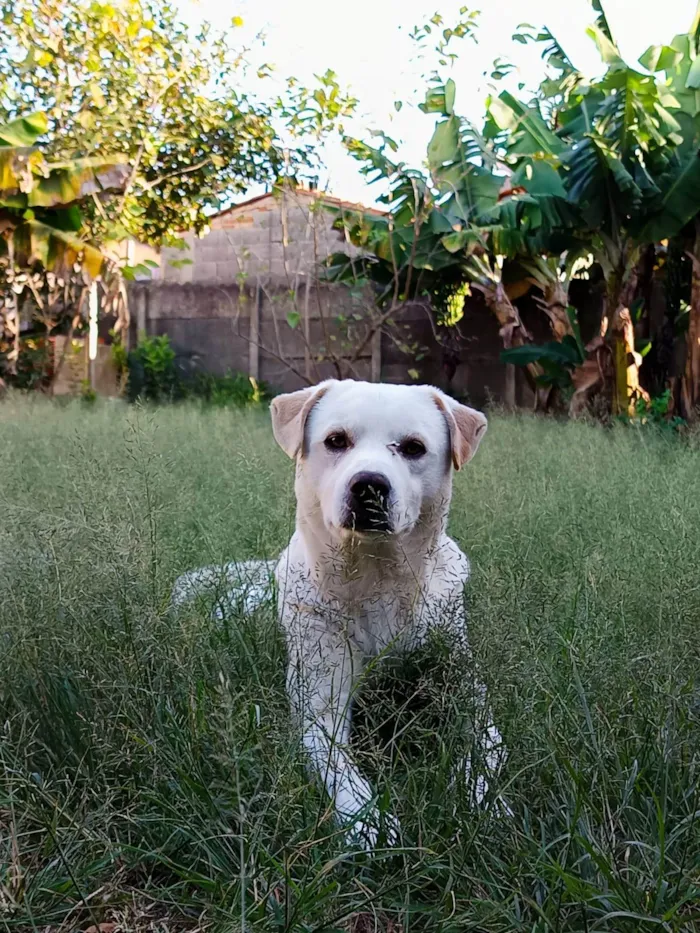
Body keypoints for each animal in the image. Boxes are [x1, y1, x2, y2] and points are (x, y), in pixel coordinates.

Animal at [172, 376, 506, 844]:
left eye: (414, 447)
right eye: (336, 440)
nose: (368, 485)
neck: (376, 578)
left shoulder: (467, 688)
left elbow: (487, 746)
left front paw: (484, 799)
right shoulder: (319, 707)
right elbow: (339, 769)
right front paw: (368, 821)